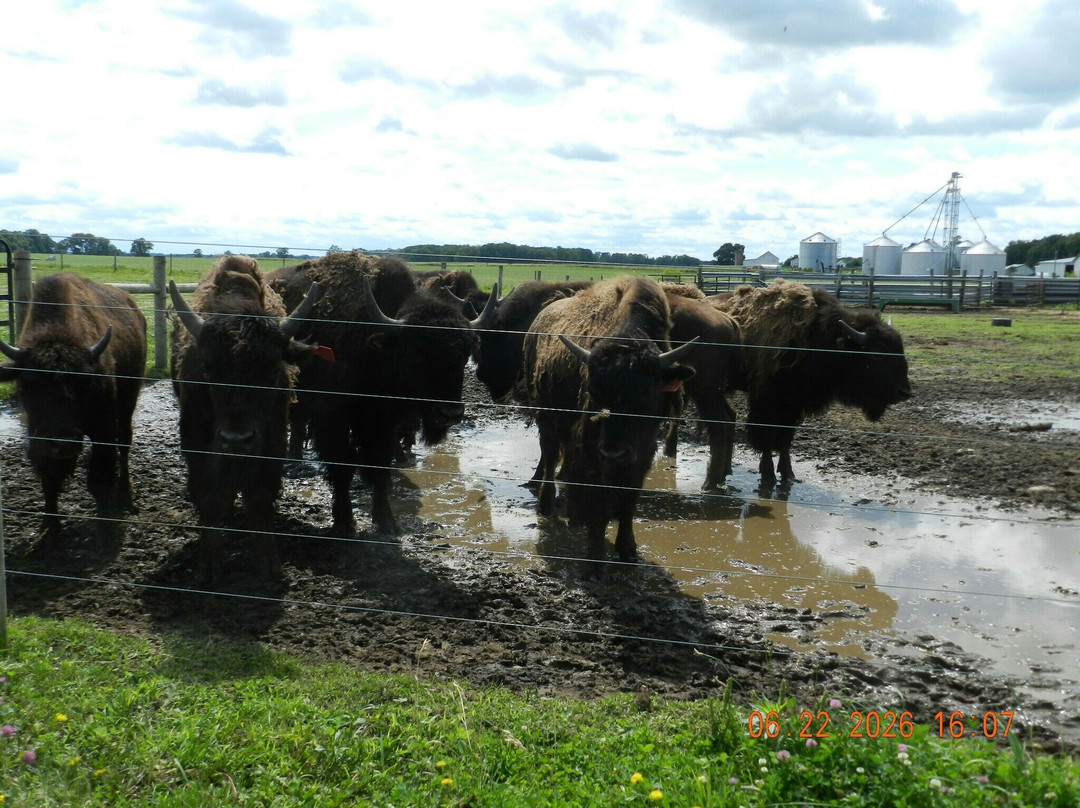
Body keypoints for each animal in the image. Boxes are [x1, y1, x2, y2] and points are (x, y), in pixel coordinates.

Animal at [0, 273, 146, 553]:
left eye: (85, 382)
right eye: (28, 383)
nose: (63, 444)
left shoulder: (103, 427)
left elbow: (99, 477)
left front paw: (105, 530)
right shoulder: (38, 432)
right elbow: (49, 477)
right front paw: (48, 532)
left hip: (128, 403)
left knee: (124, 443)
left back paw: (125, 495)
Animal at [169, 255, 319, 581]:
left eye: (273, 369)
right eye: (208, 369)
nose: (236, 439)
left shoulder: (272, 442)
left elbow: (259, 497)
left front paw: (270, 564)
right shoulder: (196, 443)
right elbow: (210, 497)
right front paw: (208, 566)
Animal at [266, 251, 496, 538]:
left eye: (464, 352)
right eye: (414, 353)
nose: (449, 414)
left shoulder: (383, 423)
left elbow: (380, 465)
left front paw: (386, 521)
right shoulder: (332, 419)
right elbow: (342, 464)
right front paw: (344, 522)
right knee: (296, 423)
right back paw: (294, 456)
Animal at [523, 275, 696, 569]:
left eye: (646, 393)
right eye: (594, 392)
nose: (614, 450)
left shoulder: (642, 451)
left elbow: (628, 497)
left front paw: (628, 550)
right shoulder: (593, 450)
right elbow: (600, 498)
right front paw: (595, 557)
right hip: (547, 419)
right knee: (550, 457)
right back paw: (546, 506)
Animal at [708, 279, 911, 487]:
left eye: (900, 348)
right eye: (877, 354)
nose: (904, 392)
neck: (820, 339)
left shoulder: (793, 403)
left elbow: (786, 438)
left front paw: (788, 473)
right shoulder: (766, 402)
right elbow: (767, 436)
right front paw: (768, 474)